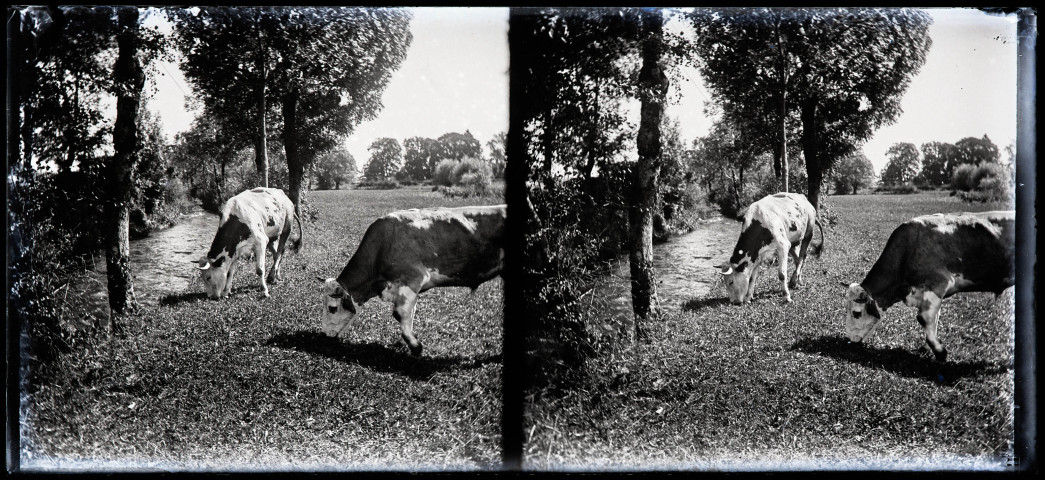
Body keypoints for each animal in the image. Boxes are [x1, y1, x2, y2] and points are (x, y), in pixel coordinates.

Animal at [317, 203, 505, 357]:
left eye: (332, 308)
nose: (325, 335)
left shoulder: (412, 279)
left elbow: (399, 313)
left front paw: (415, 346)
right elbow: (409, 313)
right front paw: (407, 340)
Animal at [844, 210, 1015, 359]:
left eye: (856, 313)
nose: (848, 340)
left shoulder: (938, 283)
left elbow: (924, 318)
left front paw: (939, 351)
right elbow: (933, 319)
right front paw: (929, 346)